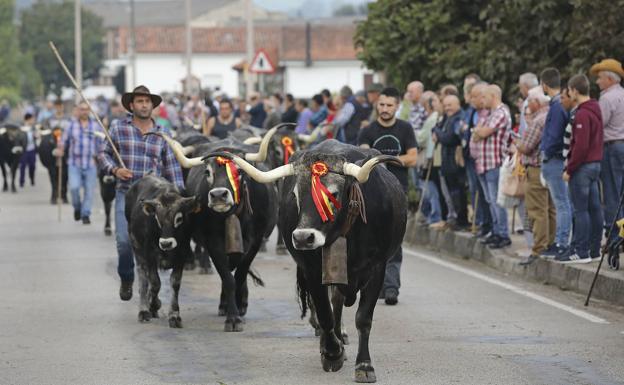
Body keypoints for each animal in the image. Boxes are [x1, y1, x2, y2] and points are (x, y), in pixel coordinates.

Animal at [207, 140, 408, 382]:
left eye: (333, 193)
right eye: (295, 194)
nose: (303, 237)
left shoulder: (377, 269)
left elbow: (363, 318)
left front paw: (364, 365)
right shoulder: (312, 270)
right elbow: (324, 313)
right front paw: (332, 354)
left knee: (338, 302)